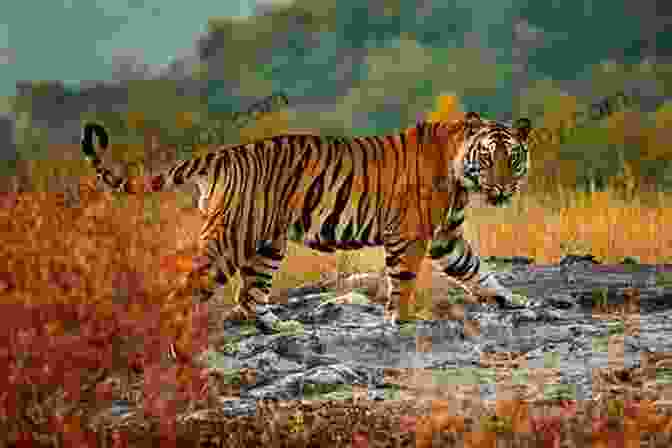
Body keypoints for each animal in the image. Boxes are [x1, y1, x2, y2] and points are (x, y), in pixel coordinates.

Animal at [80, 113, 532, 364]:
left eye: (513, 159)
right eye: (487, 158)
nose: (503, 188)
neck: (461, 176)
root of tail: (224, 154)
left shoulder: (445, 237)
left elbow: (477, 270)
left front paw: (514, 300)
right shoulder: (410, 235)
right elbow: (403, 281)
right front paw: (401, 322)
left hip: (266, 243)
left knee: (250, 296)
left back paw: (282, 328)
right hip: (231, 239)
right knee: (185, 292)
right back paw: (178, 351)